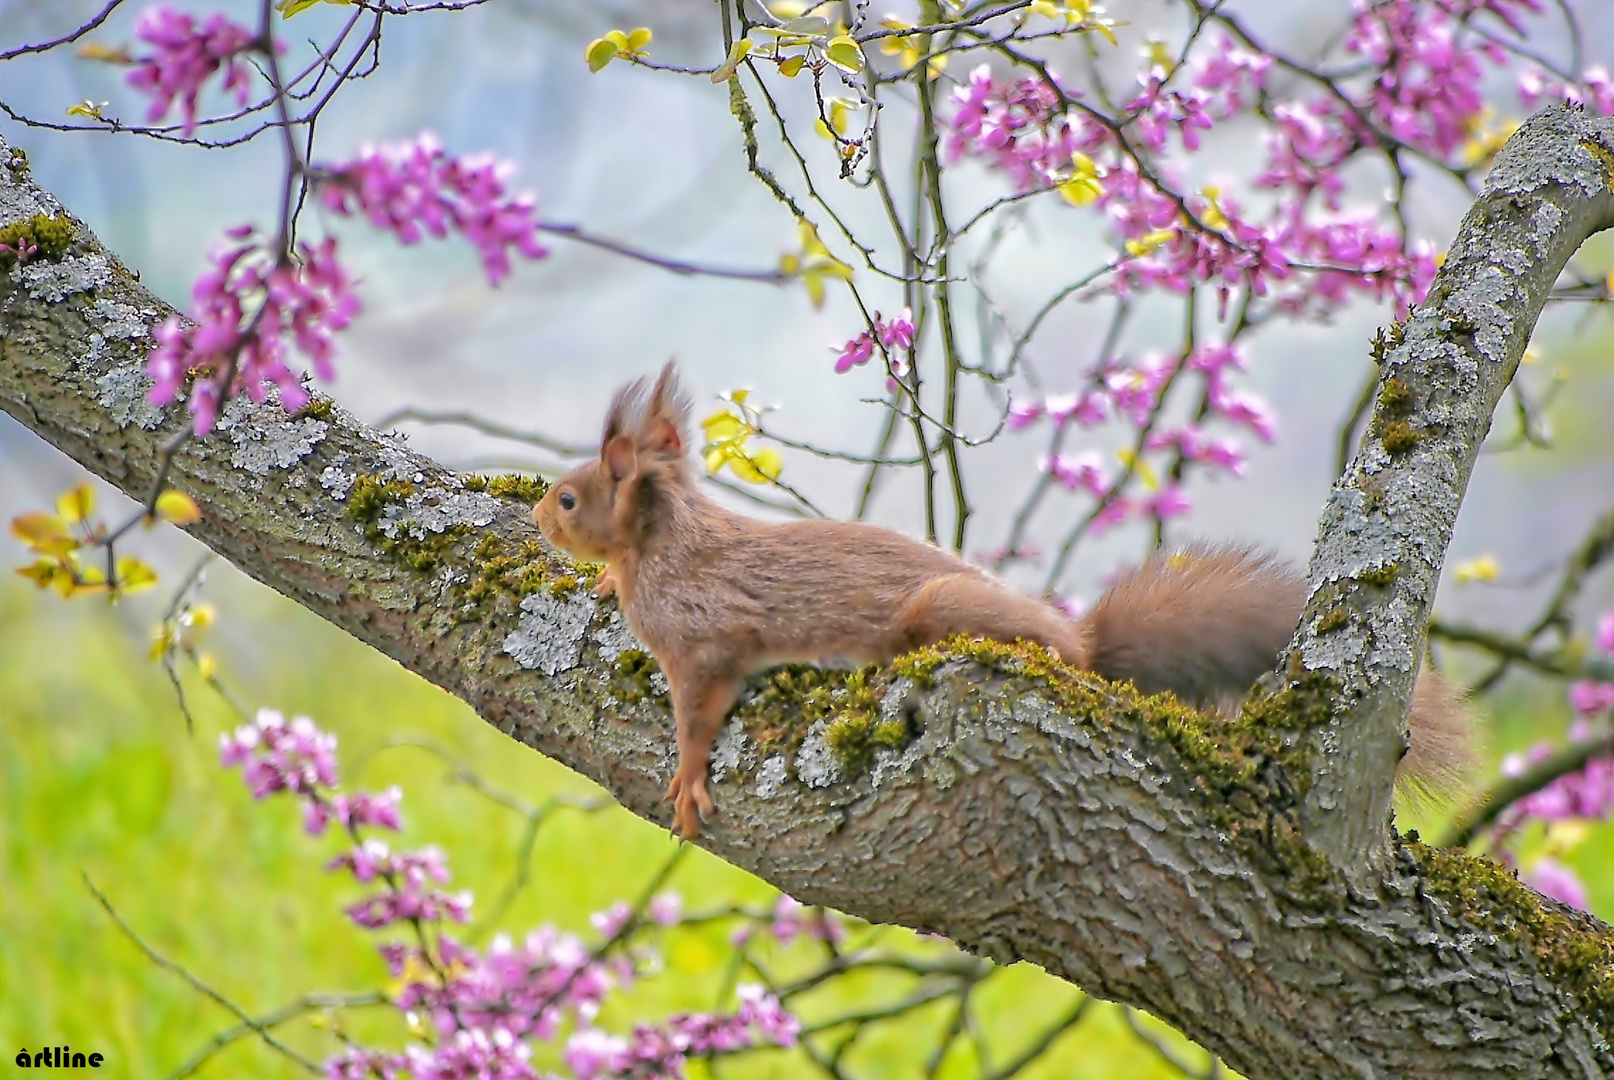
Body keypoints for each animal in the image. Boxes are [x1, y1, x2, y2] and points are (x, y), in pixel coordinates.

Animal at [532, 360, 1478, 833]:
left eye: (571, 498)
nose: (541, 514)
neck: (660, 547)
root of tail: (1084, 645)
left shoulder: (704, 644)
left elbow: (698, 717)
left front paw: (688, 782)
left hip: (943, 614)